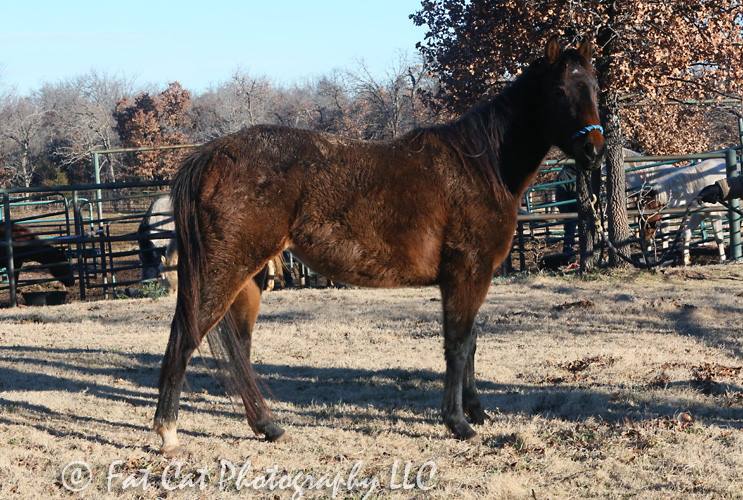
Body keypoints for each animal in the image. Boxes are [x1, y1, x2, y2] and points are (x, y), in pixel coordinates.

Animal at [154, 37, 608, 456]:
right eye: (559, 91)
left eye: (594, 87)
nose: (593, 151)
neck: (481, 167)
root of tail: (210, 156)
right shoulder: (466, 273)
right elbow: (458, 344)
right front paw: (458, 422)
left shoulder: (472, 277)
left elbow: (472, 341)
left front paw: (476, 411)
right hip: (224, 270)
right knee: (185, 335)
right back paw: (168, 433)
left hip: (248, 279)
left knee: (239, 351)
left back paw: (268, 426)